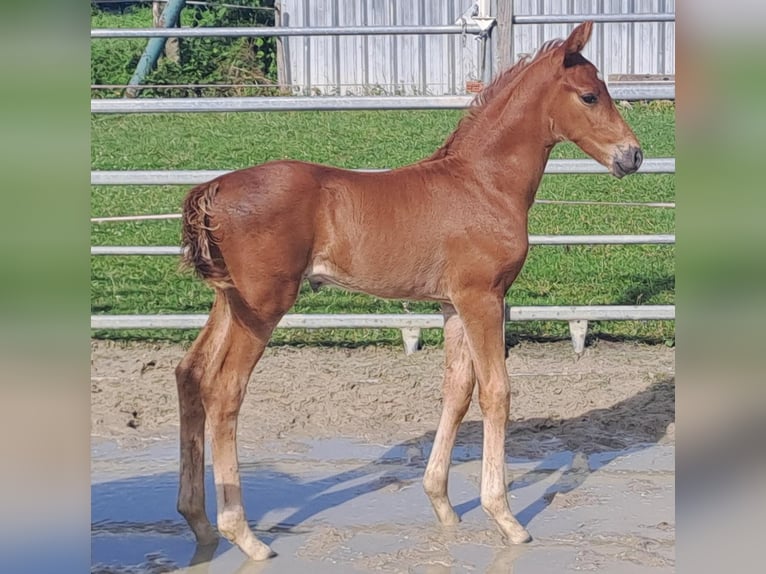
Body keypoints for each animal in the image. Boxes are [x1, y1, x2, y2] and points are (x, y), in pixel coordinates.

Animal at [172, 22, 640, 564]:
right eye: (589, 95)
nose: (633, 155)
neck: (483, 183)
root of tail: (216, 188)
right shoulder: (483, 298)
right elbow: (496, 391)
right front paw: (505, 518)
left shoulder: (452, 306)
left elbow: (457, 390)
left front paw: (442, 504)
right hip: (263, 306)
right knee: (225, 389)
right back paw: (244, 535)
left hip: (230, 300)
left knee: (190, 373)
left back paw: (198, 521)